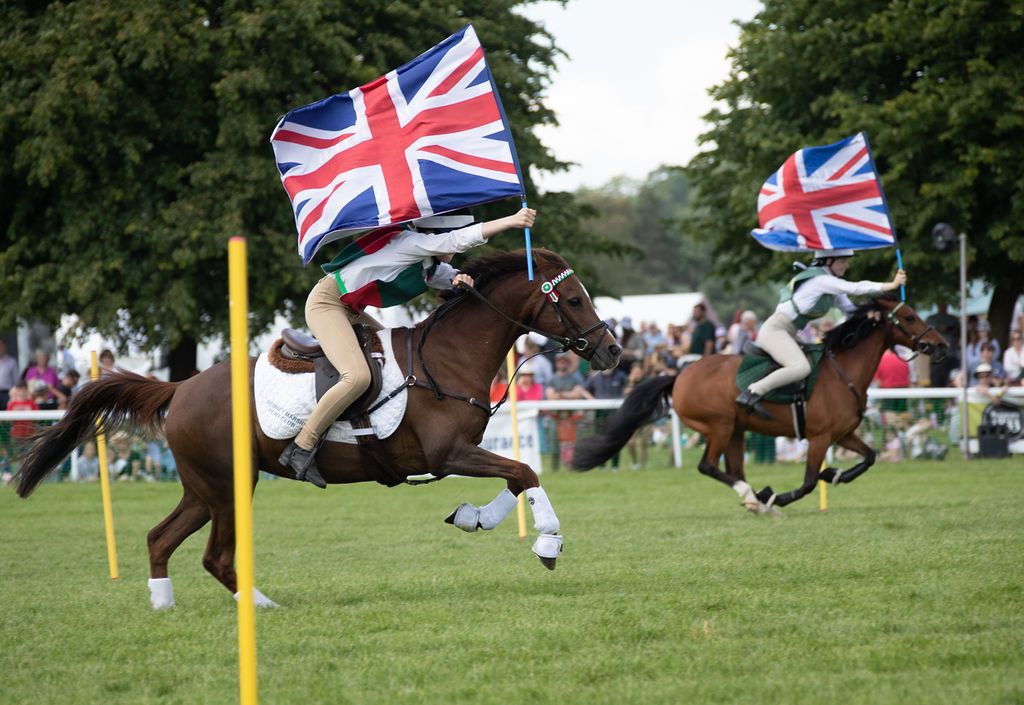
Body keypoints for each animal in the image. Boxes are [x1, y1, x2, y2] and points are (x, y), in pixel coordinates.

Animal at [12, 251, 618, 606]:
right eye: (573, 298)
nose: (613, 350)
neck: (446, 357)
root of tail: (179, 389)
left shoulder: (460, 451)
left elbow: (516, 476)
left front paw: (475, 517)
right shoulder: (446, 453)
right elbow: (525, 470)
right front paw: (548, 540)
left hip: (202, 489)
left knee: (160, 538)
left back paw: (166, 606)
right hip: (228, 489)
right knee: (215, 556)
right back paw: (258, 608)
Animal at [573, 297, 946, 512]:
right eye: (909, 317)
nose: (941, 344)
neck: (843, 371)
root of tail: (679, 375)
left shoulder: (842, 434)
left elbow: (870, 456)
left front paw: (835, 473)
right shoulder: (820, 438)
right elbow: (808, 482)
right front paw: (787, 494)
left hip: (736, 431)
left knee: (733, 469)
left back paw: (756, 496)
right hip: (720, 427)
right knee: (709, 466)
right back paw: (757, 496)